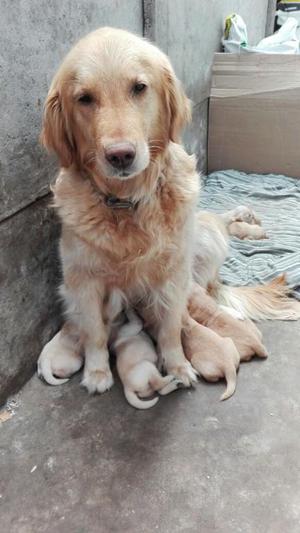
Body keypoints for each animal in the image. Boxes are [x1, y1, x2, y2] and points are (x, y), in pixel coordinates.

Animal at [39, 29, 199, 392]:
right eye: (85, 98)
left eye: (139, 87)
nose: (121, 155)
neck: (127, 202)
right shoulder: (84, 280)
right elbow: (95, 332)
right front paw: (97, 372)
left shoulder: (174, 273)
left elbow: (170, 327)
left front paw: (178, 364)